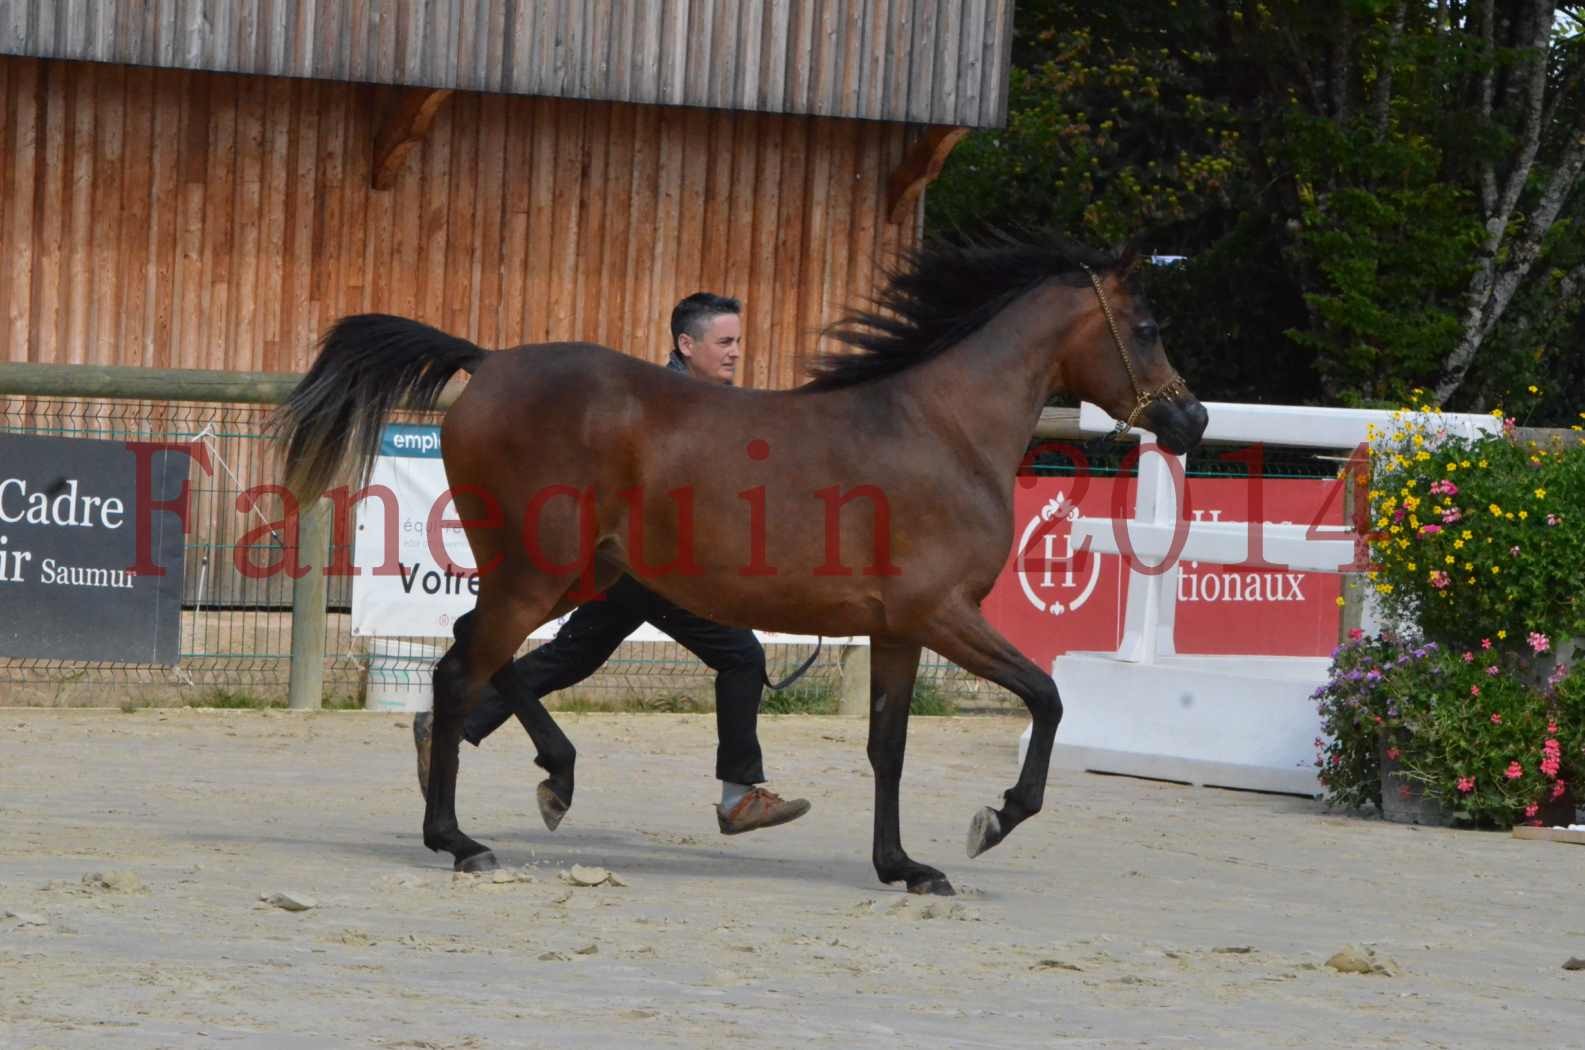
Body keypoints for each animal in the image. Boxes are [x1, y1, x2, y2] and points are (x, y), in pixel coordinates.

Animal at [275, 229, 1210, 894]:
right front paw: (995, 819)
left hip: (570, 575)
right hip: (540, 572)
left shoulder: (898, 631)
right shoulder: (943, 614)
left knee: (483, 653)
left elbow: (888, 745)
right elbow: (1047, 696)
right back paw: (461, 840)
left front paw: (904, 868)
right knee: (460, 670)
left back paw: (554, 781)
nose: (1191, 420)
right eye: (1146, 327)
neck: (941, 429)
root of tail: (489, 361)